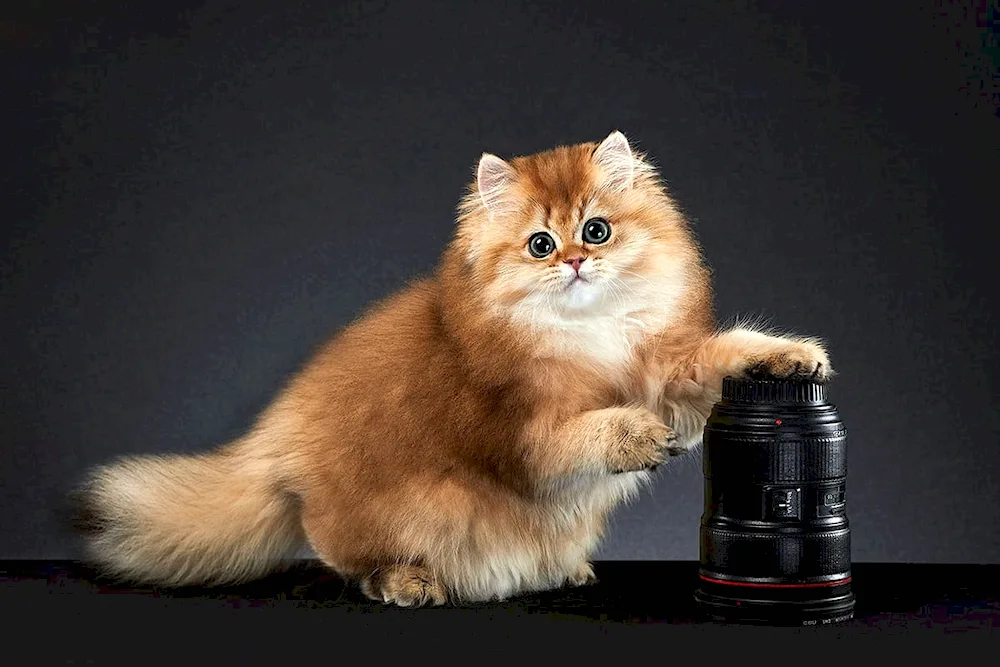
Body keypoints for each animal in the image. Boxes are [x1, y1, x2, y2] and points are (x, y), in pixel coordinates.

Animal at [74, 130, 832, 604]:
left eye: (597, 230)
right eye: (540, 243)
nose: (575, 262)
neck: (589, 335)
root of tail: (278, 443)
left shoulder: (668, 369)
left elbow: (724, 357)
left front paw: (793, 356)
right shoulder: (527, 433)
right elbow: (591, 431)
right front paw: (638, 436)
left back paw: (565, 569)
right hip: (398, 517)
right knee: (353, 562)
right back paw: (412, 583)